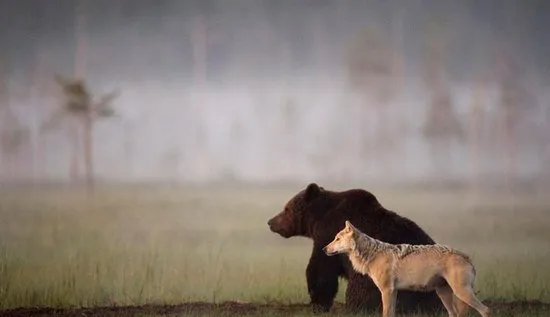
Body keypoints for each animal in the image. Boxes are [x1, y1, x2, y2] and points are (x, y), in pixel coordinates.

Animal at [270, 183, 446, 314]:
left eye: (286, 208)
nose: (270, 221)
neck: (317, 219)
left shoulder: (328, 233)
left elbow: (321, 270)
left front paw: (318, 304)